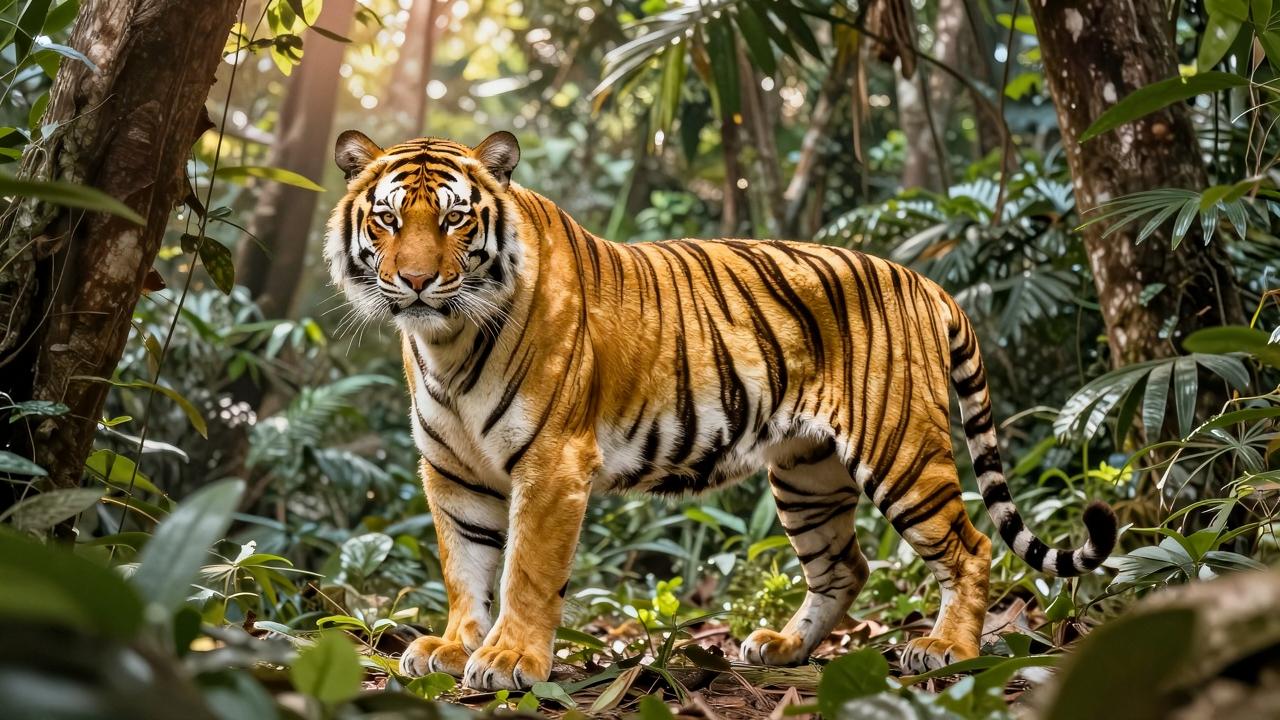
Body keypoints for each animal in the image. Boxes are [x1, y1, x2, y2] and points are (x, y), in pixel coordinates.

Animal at [324, 129, 1117, 691]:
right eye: (387, 220)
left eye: (455, 222)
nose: (416, 281)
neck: (446, 343)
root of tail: (923, 280)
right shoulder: (454, 473)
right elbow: (465, 565)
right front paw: (457, 644)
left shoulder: (552, 464)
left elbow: (525, 570)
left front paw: (511, 658)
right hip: (806, 473)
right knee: (845, 565)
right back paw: (784, 647)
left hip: (901, 451)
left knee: (971, 546)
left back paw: (946, 648)